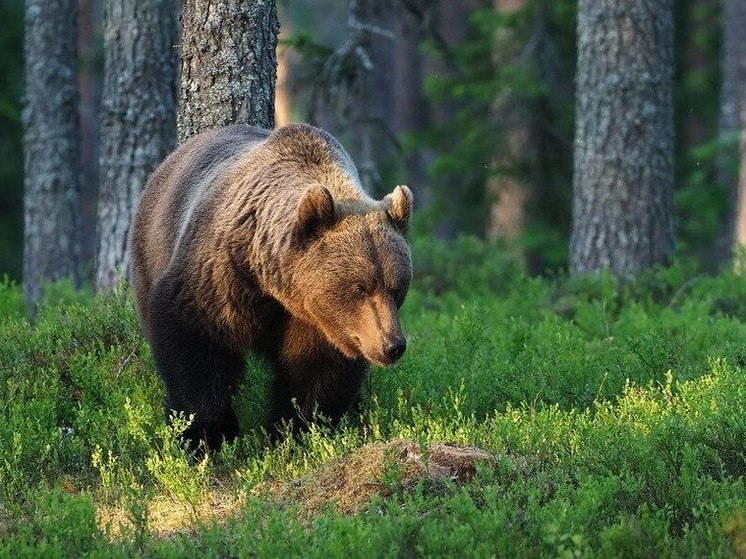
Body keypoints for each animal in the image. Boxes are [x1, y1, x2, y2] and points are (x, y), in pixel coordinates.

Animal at [131, 123, 416, 450]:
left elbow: (314, 372)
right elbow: (193, 338)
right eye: (360, 287)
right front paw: (207, 433)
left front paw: (293, 431)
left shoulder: (318, 321)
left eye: (398, 287)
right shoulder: (220, 275)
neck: (275, 285)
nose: (392, 346)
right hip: (151, 252)